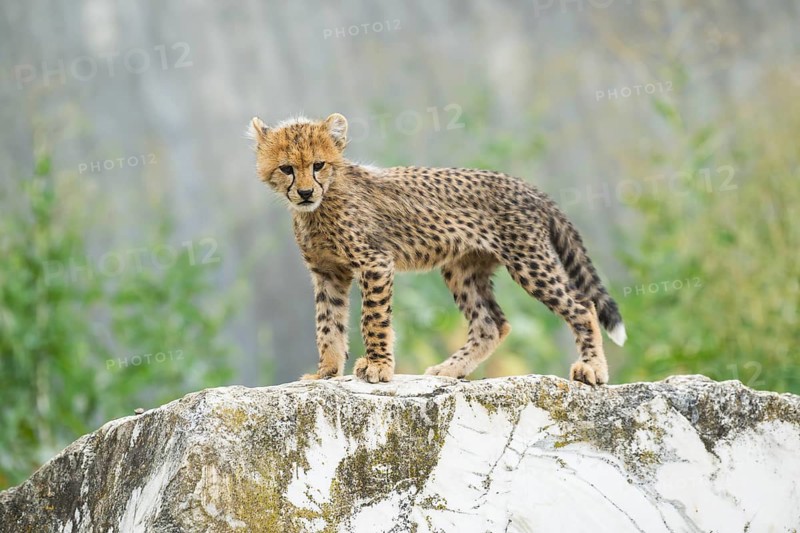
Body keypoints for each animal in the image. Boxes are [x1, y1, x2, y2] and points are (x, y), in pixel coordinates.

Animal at [248, 113, 626, 385]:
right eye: (287, 168)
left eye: (318, 165)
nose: (306, 192)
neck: (321, 205)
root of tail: (525, 185)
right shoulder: (328, 272)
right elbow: (328, 324)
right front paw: (325, 372)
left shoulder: (375, 262)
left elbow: (373, 318)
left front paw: (378, 366)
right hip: (463, 268)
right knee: (491, 324)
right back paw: (450, 370)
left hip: (529, 262)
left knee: (582, 306)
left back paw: (593, 369)